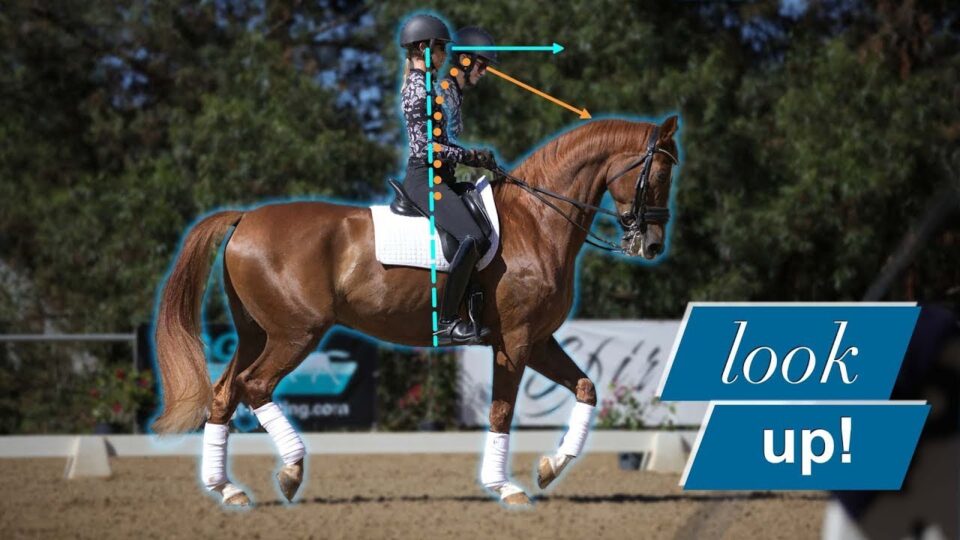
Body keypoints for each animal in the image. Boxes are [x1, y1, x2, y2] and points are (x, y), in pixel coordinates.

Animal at [151, 116, 679, 507]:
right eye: (658, 174)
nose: (652, 245)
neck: (537, 221)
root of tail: (245, 218)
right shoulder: (515, 340)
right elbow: (502, 411)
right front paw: (505, 487)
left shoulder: (539, 339)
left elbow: (587, 388)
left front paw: (551, 468)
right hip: (295, 334)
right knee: (255, 386)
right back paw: (291, 471)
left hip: (256, 333)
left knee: (224, 394)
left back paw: (228, 490)